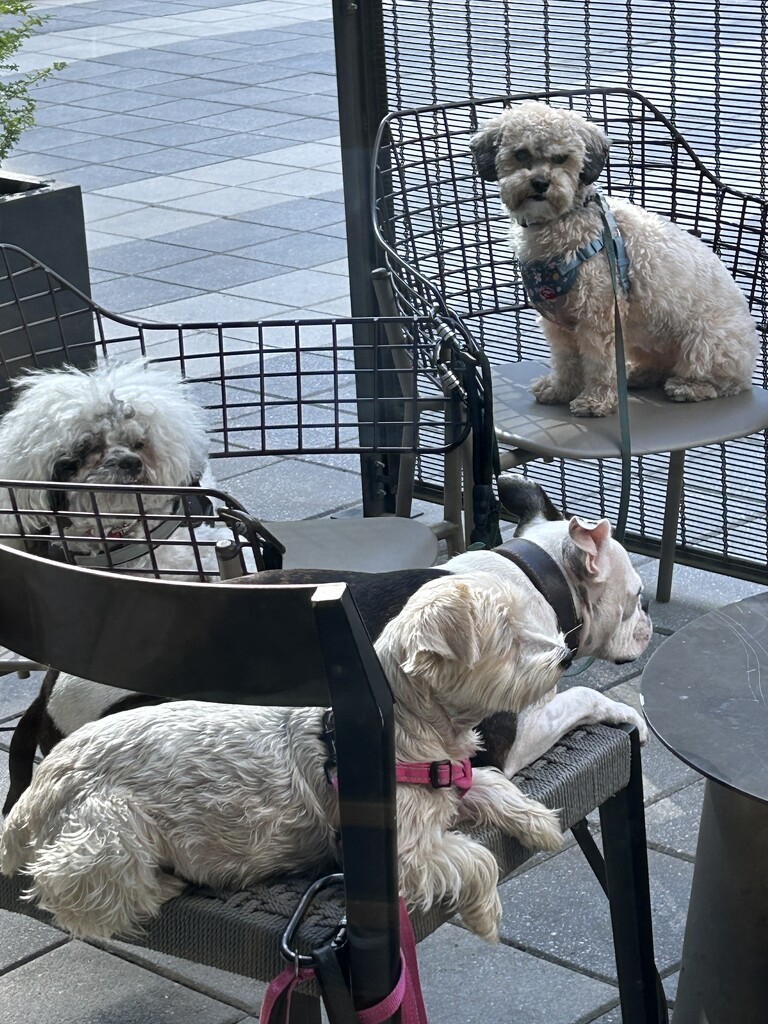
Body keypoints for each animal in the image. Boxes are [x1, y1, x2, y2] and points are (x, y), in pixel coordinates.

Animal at [0, 516, 651, 946]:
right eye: (639, 596)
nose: (649, 624)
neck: (531, 573)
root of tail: (45, 693)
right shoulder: (505, 743)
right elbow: (582, 697)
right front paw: (631, 713)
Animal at [473, 101, 761, 417]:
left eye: (561, 158)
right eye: (521, 154)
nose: (539, 183)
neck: (565, 222)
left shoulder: (597, 316)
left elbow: (599, 365)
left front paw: (594, 401)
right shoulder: (558, 323)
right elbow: (565, 360)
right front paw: (559, 389)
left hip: (705, 343)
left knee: (723, 382)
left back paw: (688, 387)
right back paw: (638, 375)